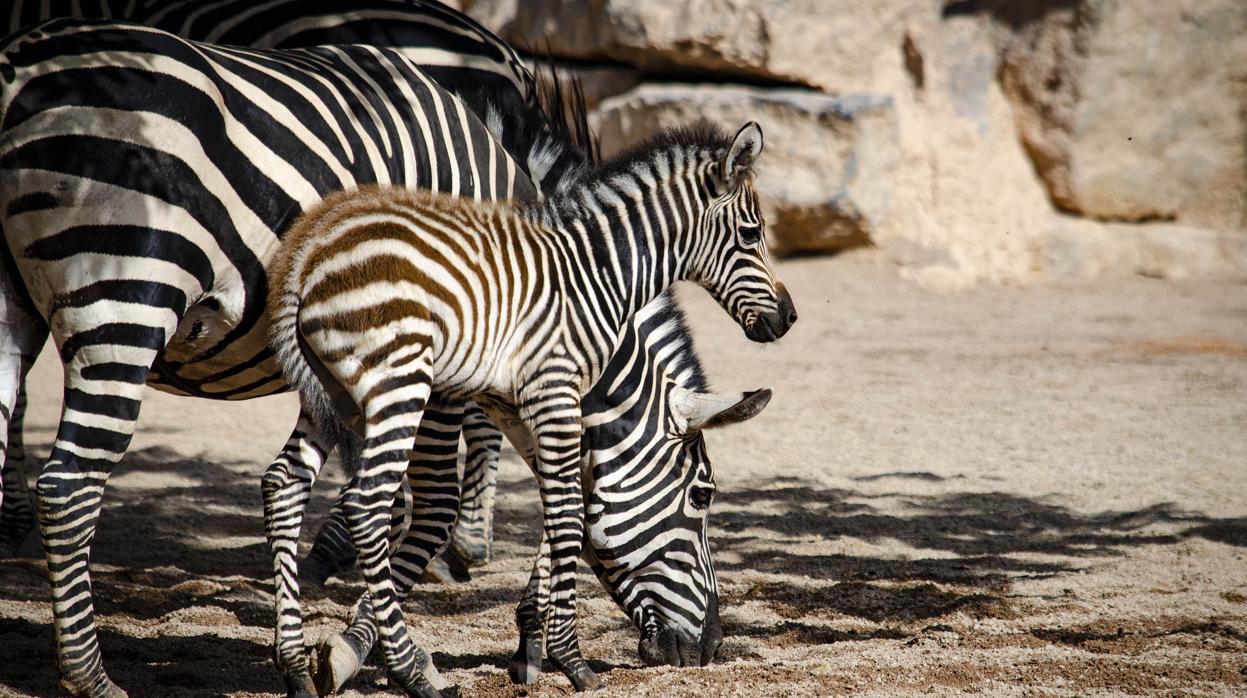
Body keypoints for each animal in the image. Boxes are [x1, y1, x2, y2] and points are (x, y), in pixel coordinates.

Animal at [268, 121, 798, 693]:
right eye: (702, 495)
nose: (788, 318)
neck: (595, 273)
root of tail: (305, 254)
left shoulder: (514, 402)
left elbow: (565, 505)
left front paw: (533, 645)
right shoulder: (553, 387)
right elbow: (566, 516)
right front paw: (571, 660)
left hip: (332, 393)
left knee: (283, 483)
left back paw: (295, 666)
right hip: (400, 380)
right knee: (367, 503)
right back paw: (413, 675)